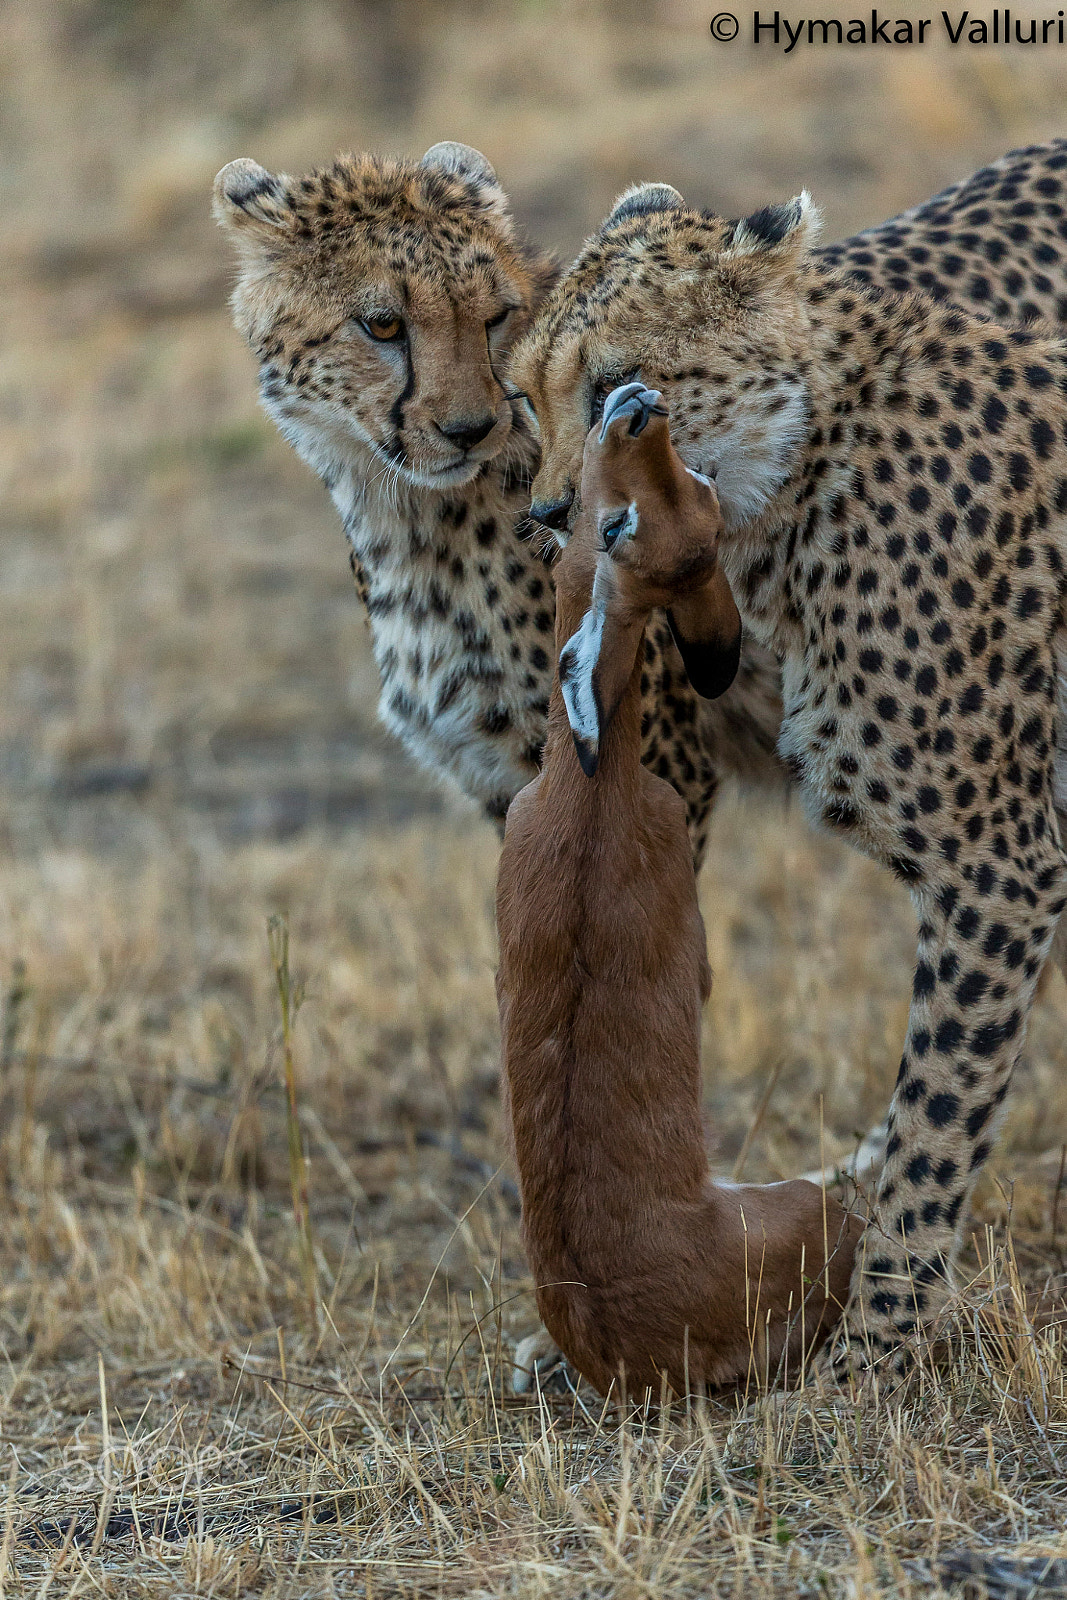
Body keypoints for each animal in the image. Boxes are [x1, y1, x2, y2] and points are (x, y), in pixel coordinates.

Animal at [509, 178, 1067, 1380]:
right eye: (525, 394)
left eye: (617, 381)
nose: (544, 514)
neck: (810, 462)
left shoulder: (997, 868)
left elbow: (939, 1107)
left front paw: (873, 1352)